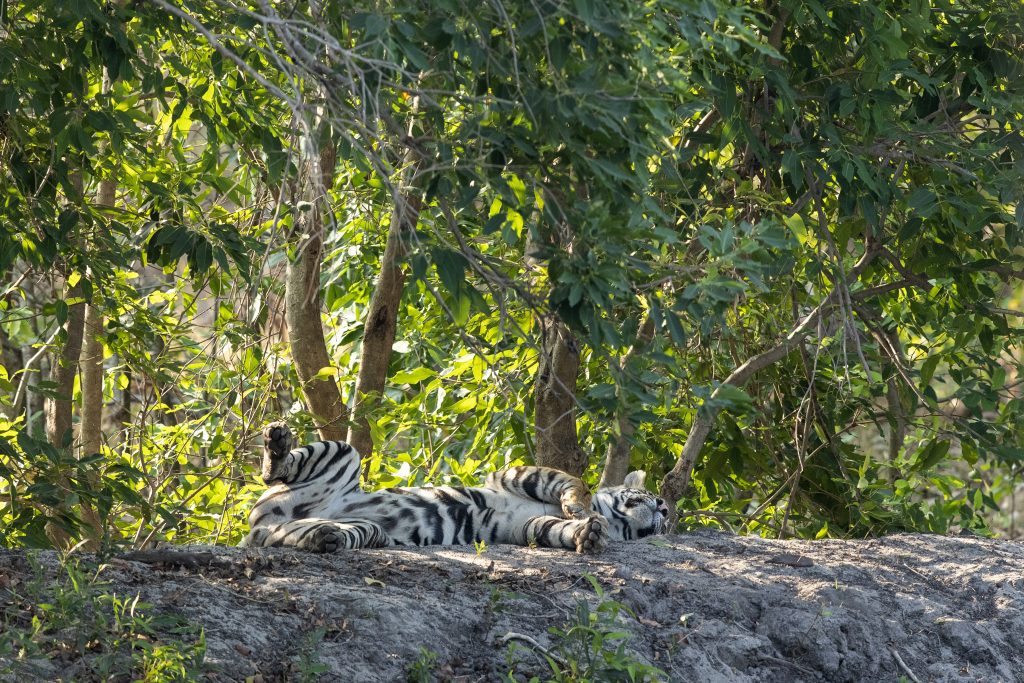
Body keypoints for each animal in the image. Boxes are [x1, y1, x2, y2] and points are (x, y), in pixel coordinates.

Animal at [241, 421, 671, 557]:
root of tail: (260, 523)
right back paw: (277, 442)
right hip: (343, 454)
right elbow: (571, 482)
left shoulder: (523, 529)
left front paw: (589, 535)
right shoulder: (512, 474)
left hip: (360, 529)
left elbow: (553, 529)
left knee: (292, 535)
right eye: (655, 497)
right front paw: (581, 510)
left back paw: (322, 537)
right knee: (275, 471)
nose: (665, 511)